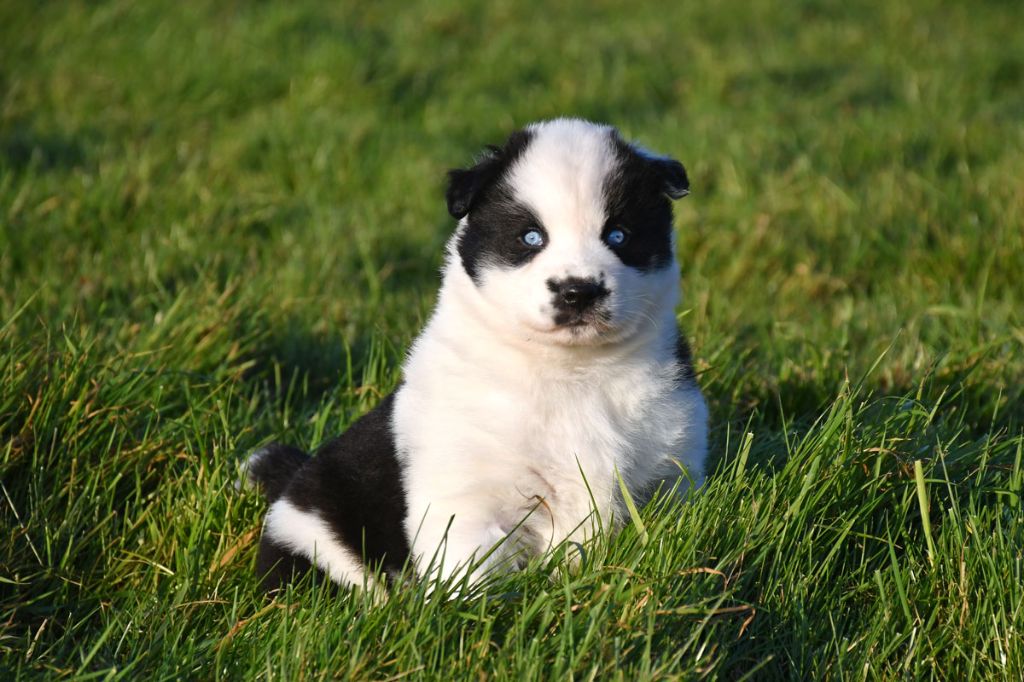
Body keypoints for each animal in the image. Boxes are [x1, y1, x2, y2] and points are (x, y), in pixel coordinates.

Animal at [248, 116, 712, 589]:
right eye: (530, 237)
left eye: (619, 235)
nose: (578, 291)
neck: (570, 369)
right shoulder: (469, 495)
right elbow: (473, 576)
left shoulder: (671, 467)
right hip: (318, 544)